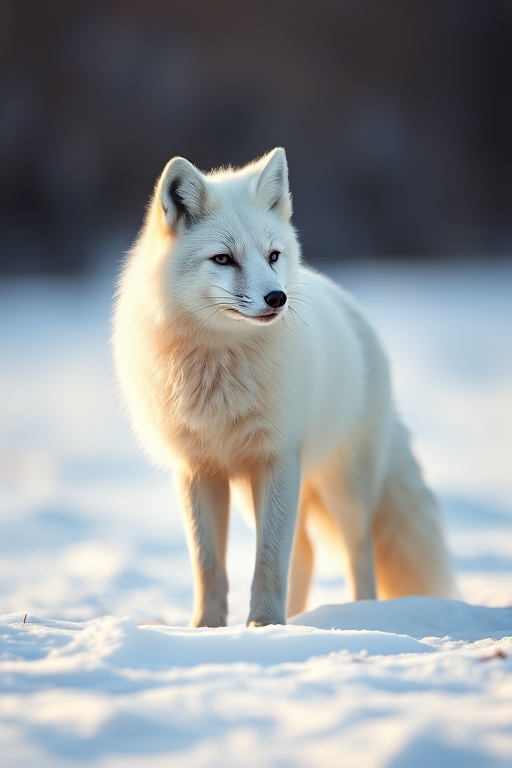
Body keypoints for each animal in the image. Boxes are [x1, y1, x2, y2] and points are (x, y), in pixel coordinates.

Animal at [112, 148, 454, 628]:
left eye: (272, 255)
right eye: (223, 259)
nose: (277, 298)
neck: (219, 375)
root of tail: (351, 307)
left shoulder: (277, 458)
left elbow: (271, 559)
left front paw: (263, 626)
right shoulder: (197, 470)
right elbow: (208, 564)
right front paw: (209, 629)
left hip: (343, 488)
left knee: (357, 550)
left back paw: (358, 615)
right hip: (259, 493)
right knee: (307, 550)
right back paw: (298, 618)